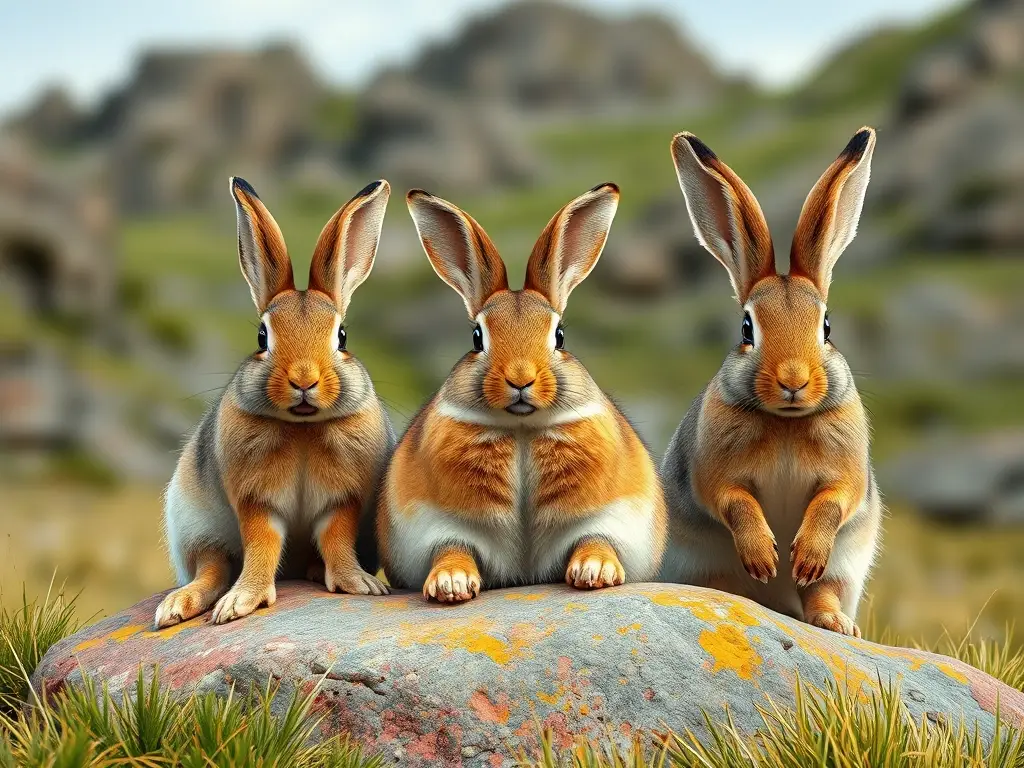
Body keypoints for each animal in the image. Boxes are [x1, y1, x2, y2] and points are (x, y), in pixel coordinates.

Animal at [154, 178, 395, 628]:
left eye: (342, 336)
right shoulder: (256, 502)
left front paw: (359, 584)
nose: (303, 380)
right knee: (212, 566)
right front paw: (240, 603)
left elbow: (336, 538)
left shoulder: (342, 502)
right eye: (262, 337)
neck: (302, 428)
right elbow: (262, 544)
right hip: (196, 526)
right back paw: (178, 606)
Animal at [377, 184, 667, 602]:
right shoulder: (432, 526)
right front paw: (450, 585)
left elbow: (596, 540)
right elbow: (451, 549)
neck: (522, 429)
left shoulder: (615, 517)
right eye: (476, 337)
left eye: (559, 335)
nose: (520, 379)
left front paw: (594, 573)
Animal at [659, 127, 882, 637]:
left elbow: (833, 503)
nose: (793, 380)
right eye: (747, 329)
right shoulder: (713, 475)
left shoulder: (847, 477)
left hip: (845, 570)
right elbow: (735, 502)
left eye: (826, 326)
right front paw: (764, 558)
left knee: (823, 591)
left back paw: (837, 624)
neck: (787, 422)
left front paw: (804, 557)